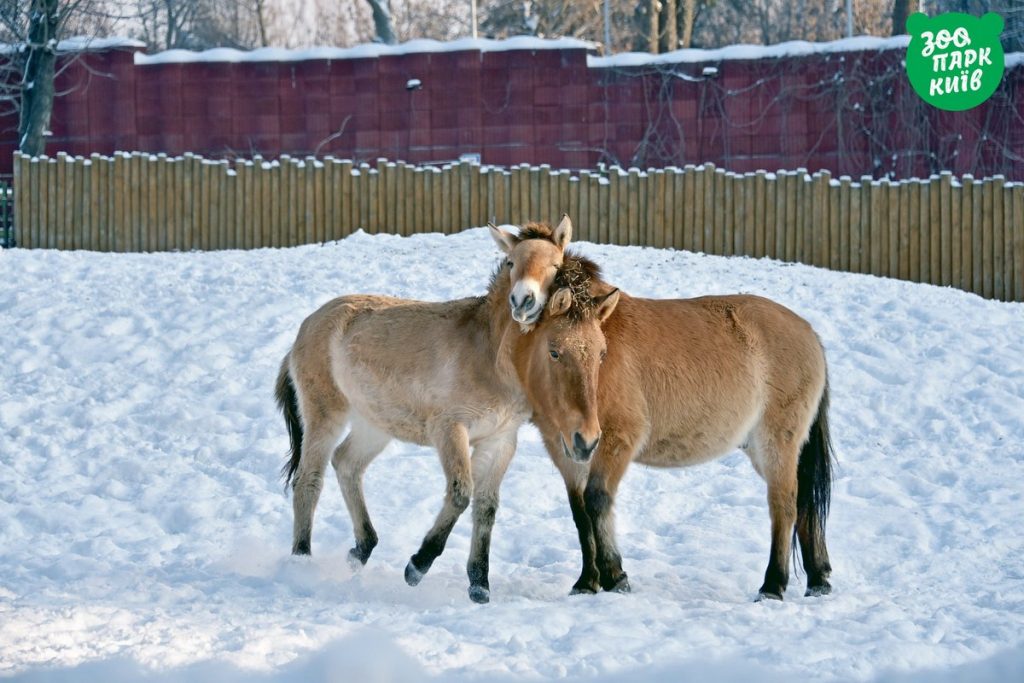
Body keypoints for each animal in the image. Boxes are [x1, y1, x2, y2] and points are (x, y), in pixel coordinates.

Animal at [276, 216, 610, 602]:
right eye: (511, 262)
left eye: (555, 266)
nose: (523, 301)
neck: (491, 356)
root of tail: (307, 326)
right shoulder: (450, 430)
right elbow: (461, 493)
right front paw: (417, 566)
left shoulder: (499, 440)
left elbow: (486, 506)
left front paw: (479, 584)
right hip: (324, 416)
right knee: (308, 479)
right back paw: (301, 561)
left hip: (373, 425)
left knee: (346, 463)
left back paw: (361, 549)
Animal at [497, 222, 839, 602]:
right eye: (511, 262)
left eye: (602, 354)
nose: (523, 302)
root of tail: (809, 333)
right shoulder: (569, 449)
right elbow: (581, 512)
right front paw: (587, 581)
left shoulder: (615, 441)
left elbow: (598, 500)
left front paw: (615, 576)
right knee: (804, 504)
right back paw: (818, 579)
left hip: (777, 443)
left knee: (785, 505)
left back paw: (773, 585)